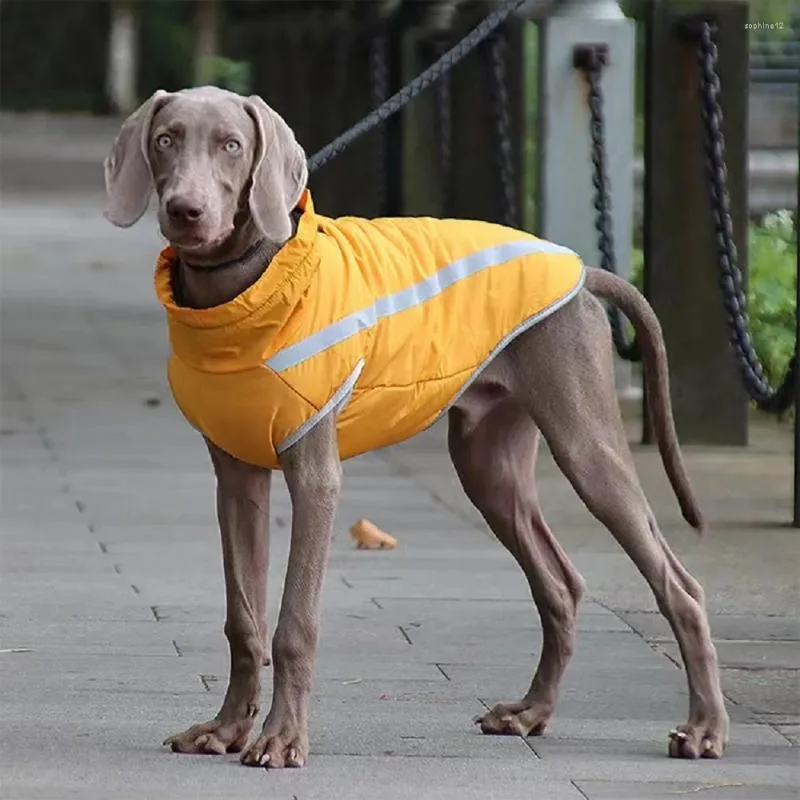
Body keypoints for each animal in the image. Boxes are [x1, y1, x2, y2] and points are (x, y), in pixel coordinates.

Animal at [103, 86, 728, 768]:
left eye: (232, 145)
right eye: (166, 139)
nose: (184, 211)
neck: (243, 291)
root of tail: (586, 274)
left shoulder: (315, 475)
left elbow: (294, 621)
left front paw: (281, 739)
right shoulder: (236, 478)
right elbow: (243, 618)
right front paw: (224, 730)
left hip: (586, 443)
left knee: (680, 586)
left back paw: (704, 729)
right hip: (488, 462)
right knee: (561, 586)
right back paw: (531, 712)